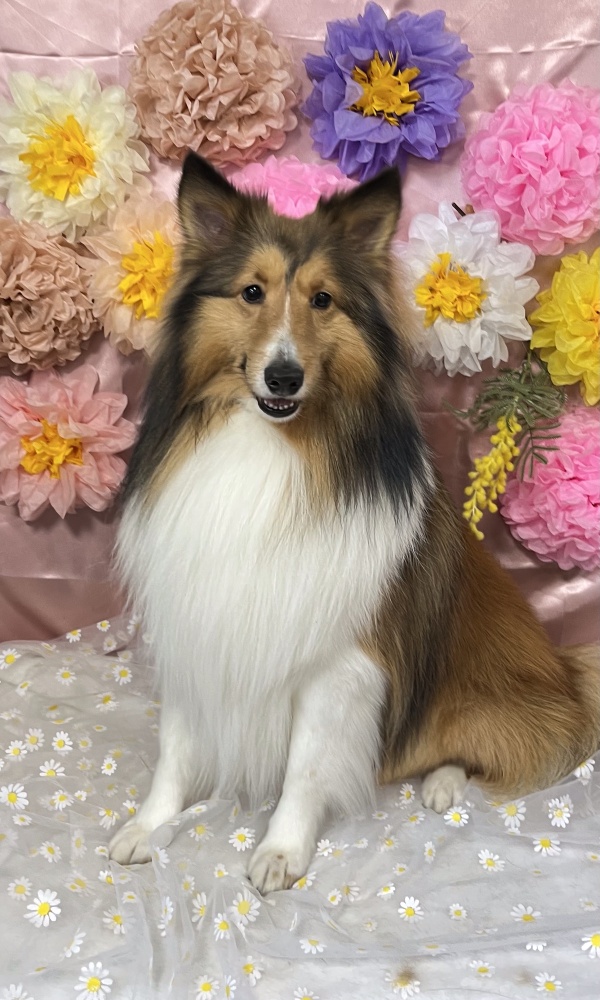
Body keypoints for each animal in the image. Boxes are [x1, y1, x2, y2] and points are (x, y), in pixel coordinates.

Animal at [109, 152, 600, 893]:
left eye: (323, 300)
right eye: (251, 292)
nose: (283, 378)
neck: (269, 445)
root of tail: (564, 671)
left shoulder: (339, 661)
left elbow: (306, 766)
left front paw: (281, 850)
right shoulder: (198, 623)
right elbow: (176, 746)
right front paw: (148, 825)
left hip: (476, 697)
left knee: (484, 748)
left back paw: (442, 783)